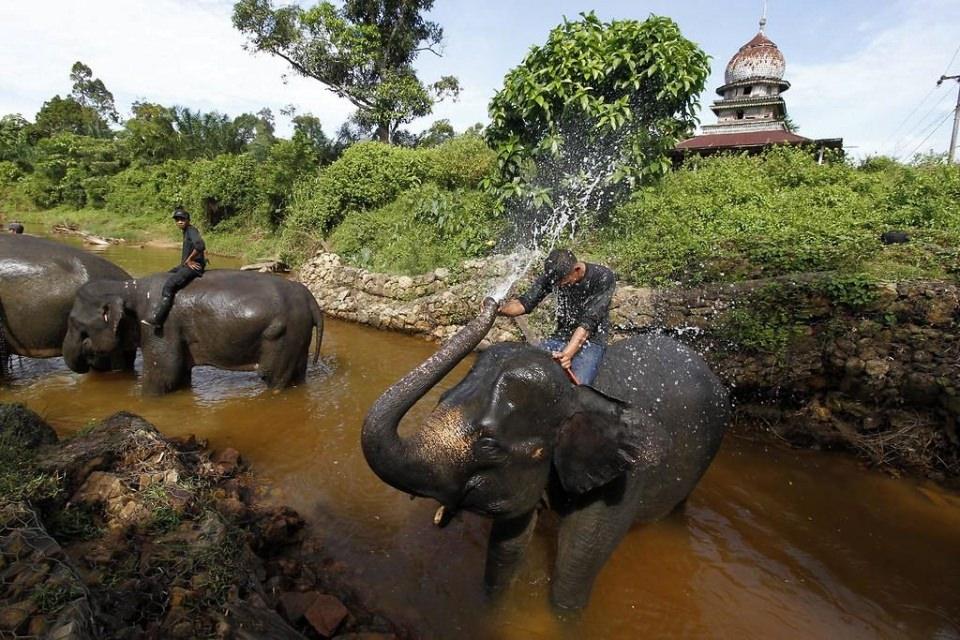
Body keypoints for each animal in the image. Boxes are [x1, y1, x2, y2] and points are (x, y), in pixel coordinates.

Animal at [64, 270, 326, 396]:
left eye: (75, 323)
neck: (129, 289)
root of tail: (310, 298)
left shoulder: (159, 327)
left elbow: (164, 376)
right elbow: (178, 375)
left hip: (284, 335)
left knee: (273, 378)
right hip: (298, 335)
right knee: (296, 377)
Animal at [364, 298, 732, 608]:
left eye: (489, 444)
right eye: (440, 401)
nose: (491, 300)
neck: (577, 393)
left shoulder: (622, 482)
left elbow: (576, 564)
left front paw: (564, 615)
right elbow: (506, 548)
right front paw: (492, 608)